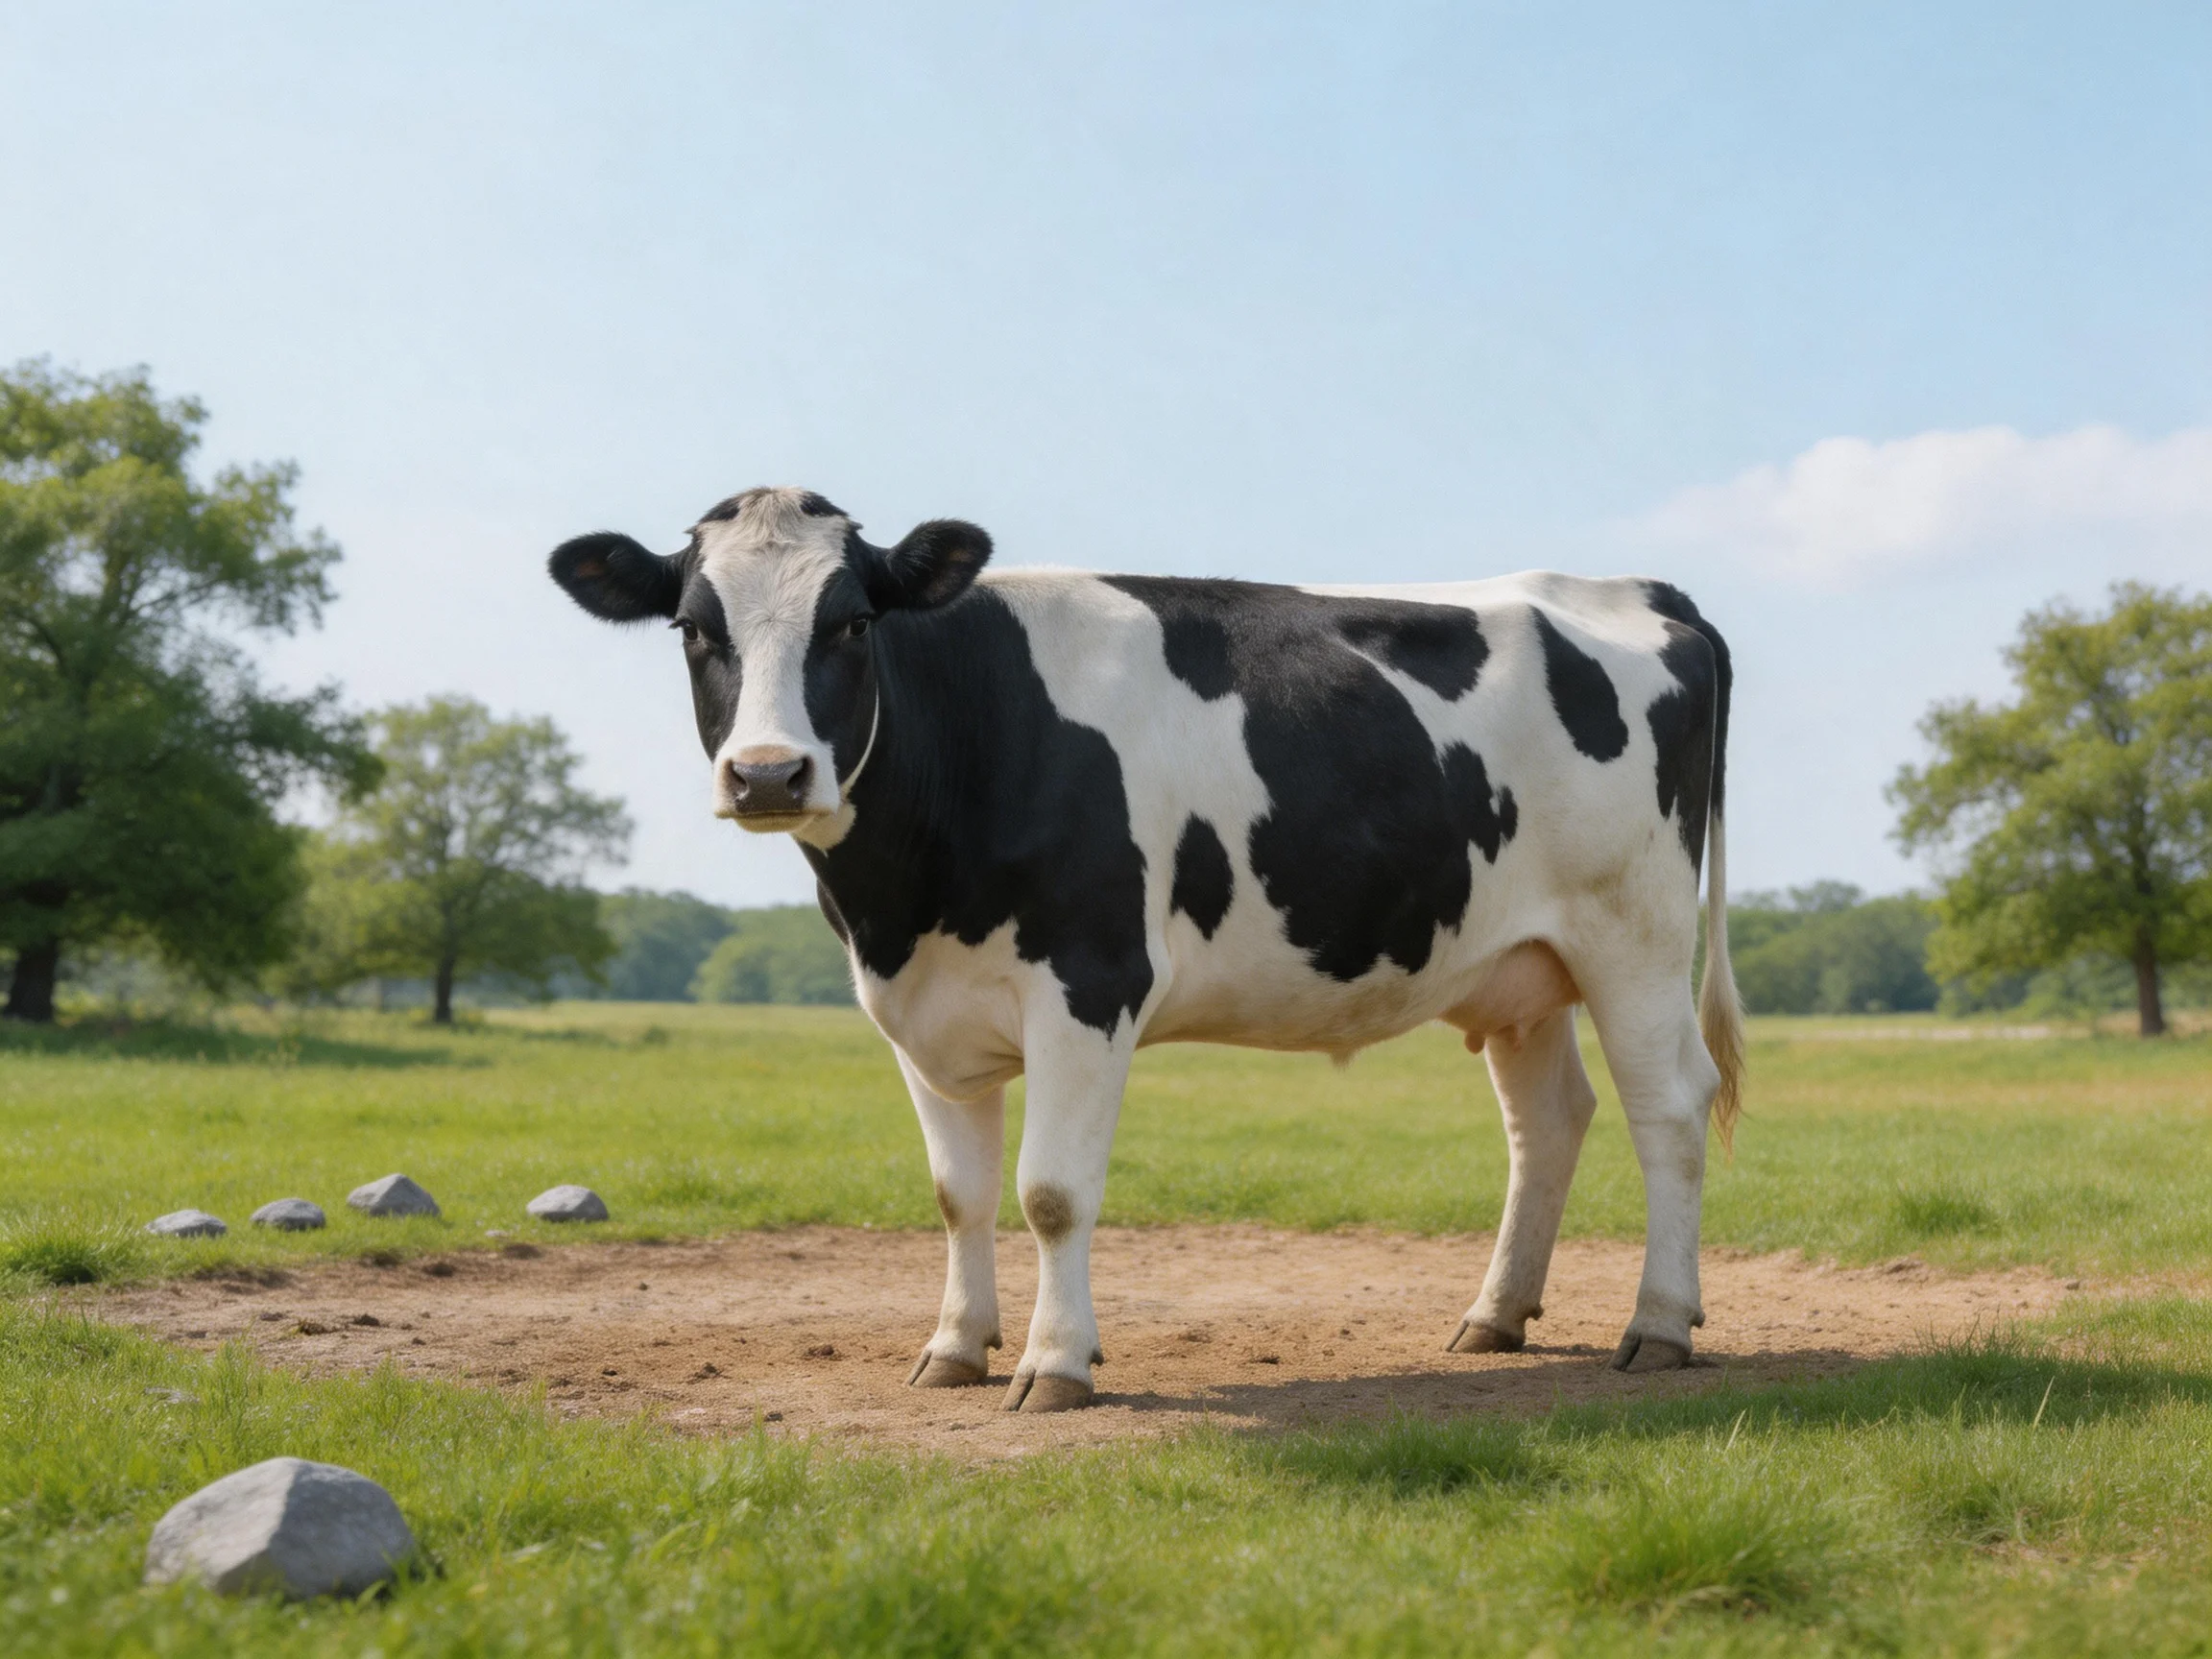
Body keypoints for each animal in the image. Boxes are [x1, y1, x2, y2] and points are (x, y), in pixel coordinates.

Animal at [549, 486, 1744, 1412]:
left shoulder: (1089, 979)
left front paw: (1054, 1365)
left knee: (1669, 1110)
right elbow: (958, 1195)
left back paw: (1659, 1326)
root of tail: (1640, 591)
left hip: (1633, 933)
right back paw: (1493, 1317)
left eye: (849, 623)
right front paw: (953, 1348)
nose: (767, 773)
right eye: (694, 628)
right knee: (1548, 1122)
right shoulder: (917, 1009)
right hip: (1520, 965)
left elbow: (1050, 1191)